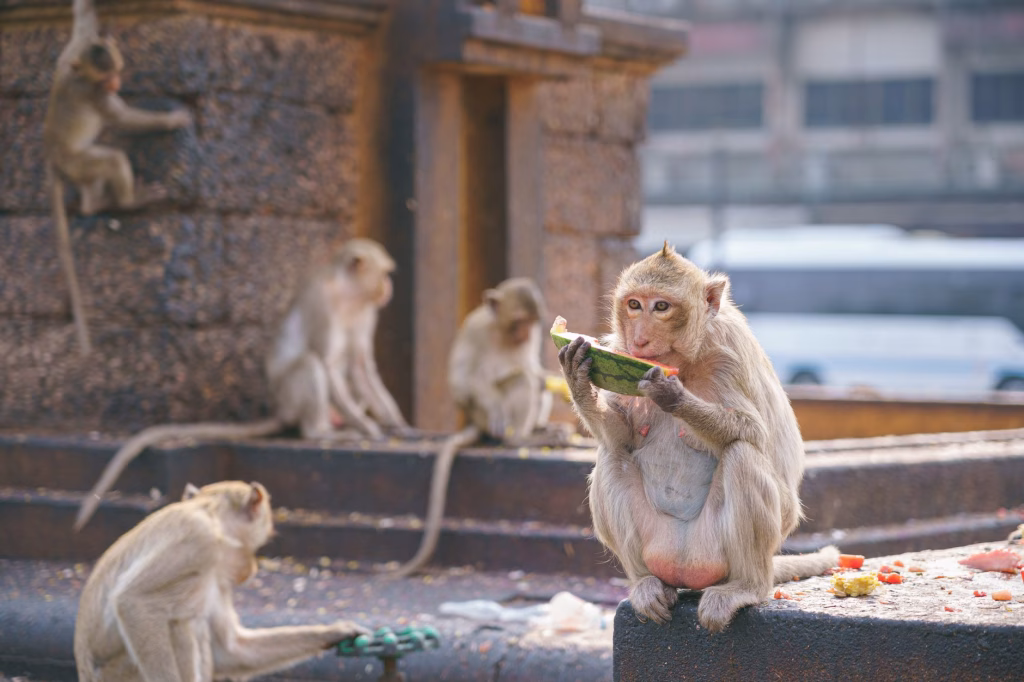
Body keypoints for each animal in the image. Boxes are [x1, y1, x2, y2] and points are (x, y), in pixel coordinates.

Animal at [44, 0, 192, 354]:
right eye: (107, 77)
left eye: (117, 73)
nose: (116, 84)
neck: (77, 69)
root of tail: (53, 158)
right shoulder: (94, 94)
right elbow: (122, 119)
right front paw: (169, 121)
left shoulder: (75, 45)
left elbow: (82, 19)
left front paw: (89, 8)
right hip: (78, 162)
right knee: (111, 159)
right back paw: (129, 202)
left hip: (77, 169)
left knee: (94, 182)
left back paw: (92, 205)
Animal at [74, 480, 368, 681]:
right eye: (258, 544)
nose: (252, 568)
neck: (210, 513)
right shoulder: (200, 538)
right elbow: (134, 602)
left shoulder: (218, 577)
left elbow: (232, 650)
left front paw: (337, 631)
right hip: (117, 673)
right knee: (180, 620)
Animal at [75, 238, 410, 531]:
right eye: (385, 273)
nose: (390, 287)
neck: (349, 295)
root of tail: (281, 410)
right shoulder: (322, 304)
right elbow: (326, 364)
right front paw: (369, 428)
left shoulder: (367, 310)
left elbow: (361, 366)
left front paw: (399, 425)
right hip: (291, 397)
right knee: (309, 364)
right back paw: (323, 432)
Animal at [390, 277, 573, 578]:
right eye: (519, 321)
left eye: (532, 322)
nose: (525, 333)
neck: (501, 330)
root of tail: (475, 421)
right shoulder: (475, 329)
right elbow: (463, 381)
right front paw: (494, 403)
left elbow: (535, 370)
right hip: (484, 416)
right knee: (520, 380)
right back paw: (519, 440)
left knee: (533, 379)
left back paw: (541, 430)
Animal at [558, 243, 838, 633]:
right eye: (634, 304)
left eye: (661, 307)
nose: (639, 339)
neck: (686, 361)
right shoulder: (621, 348)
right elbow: (622, 436)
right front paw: (577, 377)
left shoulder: (730, 349)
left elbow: (753, 432)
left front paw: (672, 396)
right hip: (657, 545)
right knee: (611, 455)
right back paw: (645, 584)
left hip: (723, 549)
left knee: (742, 456)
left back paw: (746, 588)